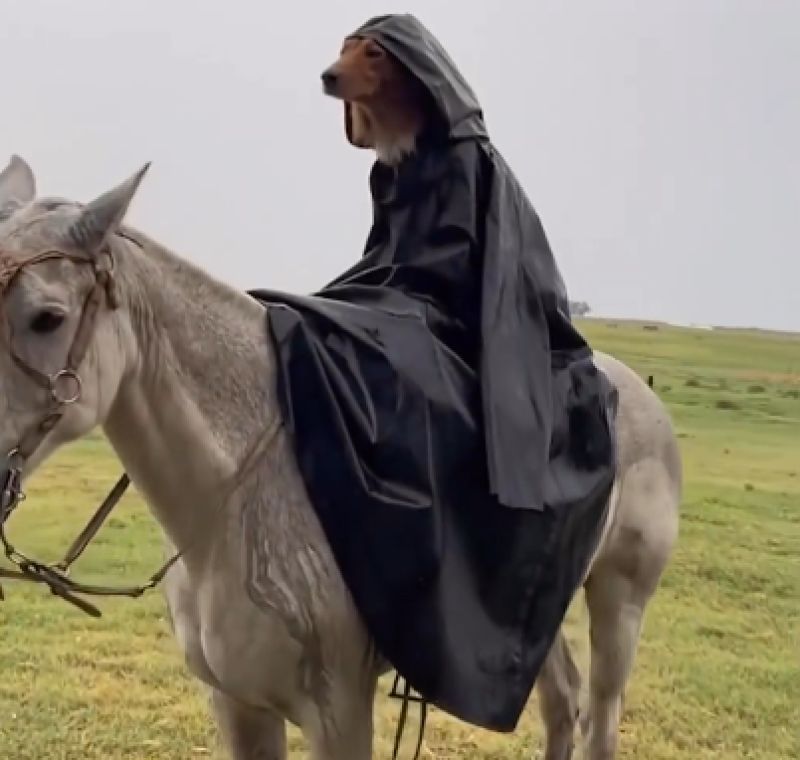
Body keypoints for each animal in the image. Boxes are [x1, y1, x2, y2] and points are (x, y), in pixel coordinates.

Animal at [0, 156, 681, 760]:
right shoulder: (239, 705)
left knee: (600, 719)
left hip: (619, 602)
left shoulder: (339, 711)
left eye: (47, 318)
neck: (238, 508)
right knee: (562, 702)